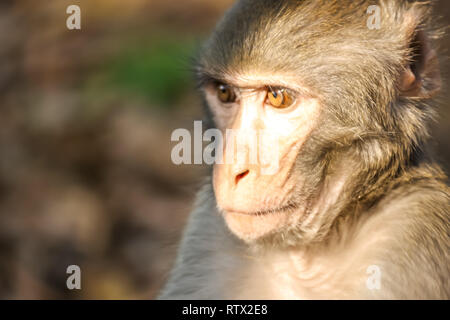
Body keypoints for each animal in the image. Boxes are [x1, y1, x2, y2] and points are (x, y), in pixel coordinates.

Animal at [157, 0, 446, 300]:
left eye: (278, 97)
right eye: (225, 92)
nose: (231, 170)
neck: (306, 258)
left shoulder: (412, 229)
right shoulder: (207, 232)